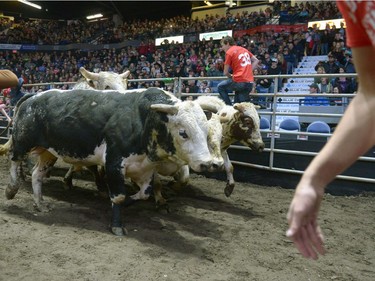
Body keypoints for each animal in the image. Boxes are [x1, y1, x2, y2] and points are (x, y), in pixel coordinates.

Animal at [5, 87, 216, 234]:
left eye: (206, 131)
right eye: (183, 132)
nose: (207, 163)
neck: (143, 120)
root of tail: (33, 97)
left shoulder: (145, 168)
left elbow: (144, 193)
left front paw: (129, 202)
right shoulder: (114, 162)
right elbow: (119, 196)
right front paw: (117, 225)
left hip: (49, 152)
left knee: (36, 174)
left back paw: (40, 203)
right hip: (23, 142)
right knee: (14, 160)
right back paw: (12, 189)